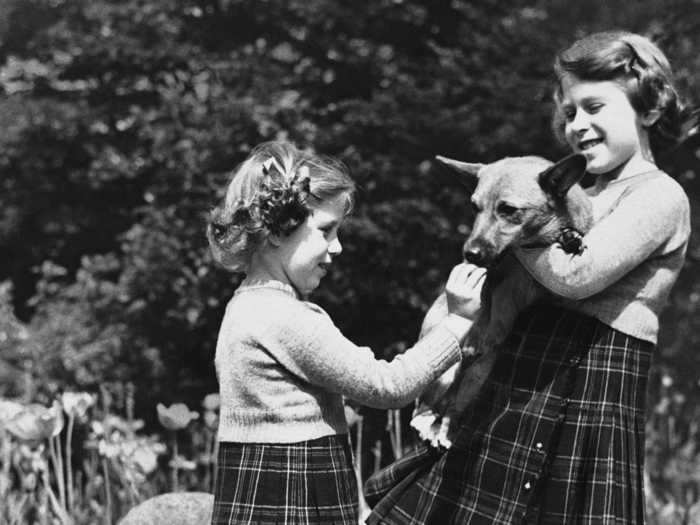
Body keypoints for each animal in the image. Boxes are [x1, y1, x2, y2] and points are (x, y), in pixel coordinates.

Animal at [412, 151, 592, 446]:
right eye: (475, 207)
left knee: (452, 410)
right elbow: (488, 299)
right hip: (448, 372)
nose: (470, 253)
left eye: (508, 209)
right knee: (426, 409)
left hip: (476, 377)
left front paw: (571, 238)